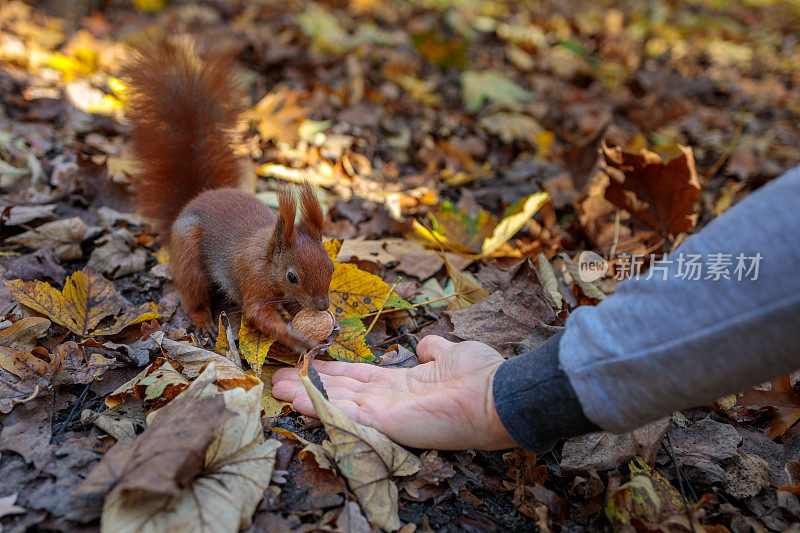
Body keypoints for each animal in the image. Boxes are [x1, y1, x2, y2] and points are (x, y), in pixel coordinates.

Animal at [126, 40, 332, 350]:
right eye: (292, 277)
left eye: (330, 265)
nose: (322, 306)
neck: (266, 258)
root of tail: (192, 201)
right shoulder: (253, 282)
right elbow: (257, 314)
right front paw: (293, 336)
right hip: (188, 253)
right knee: (194, 294)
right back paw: (203, 323)